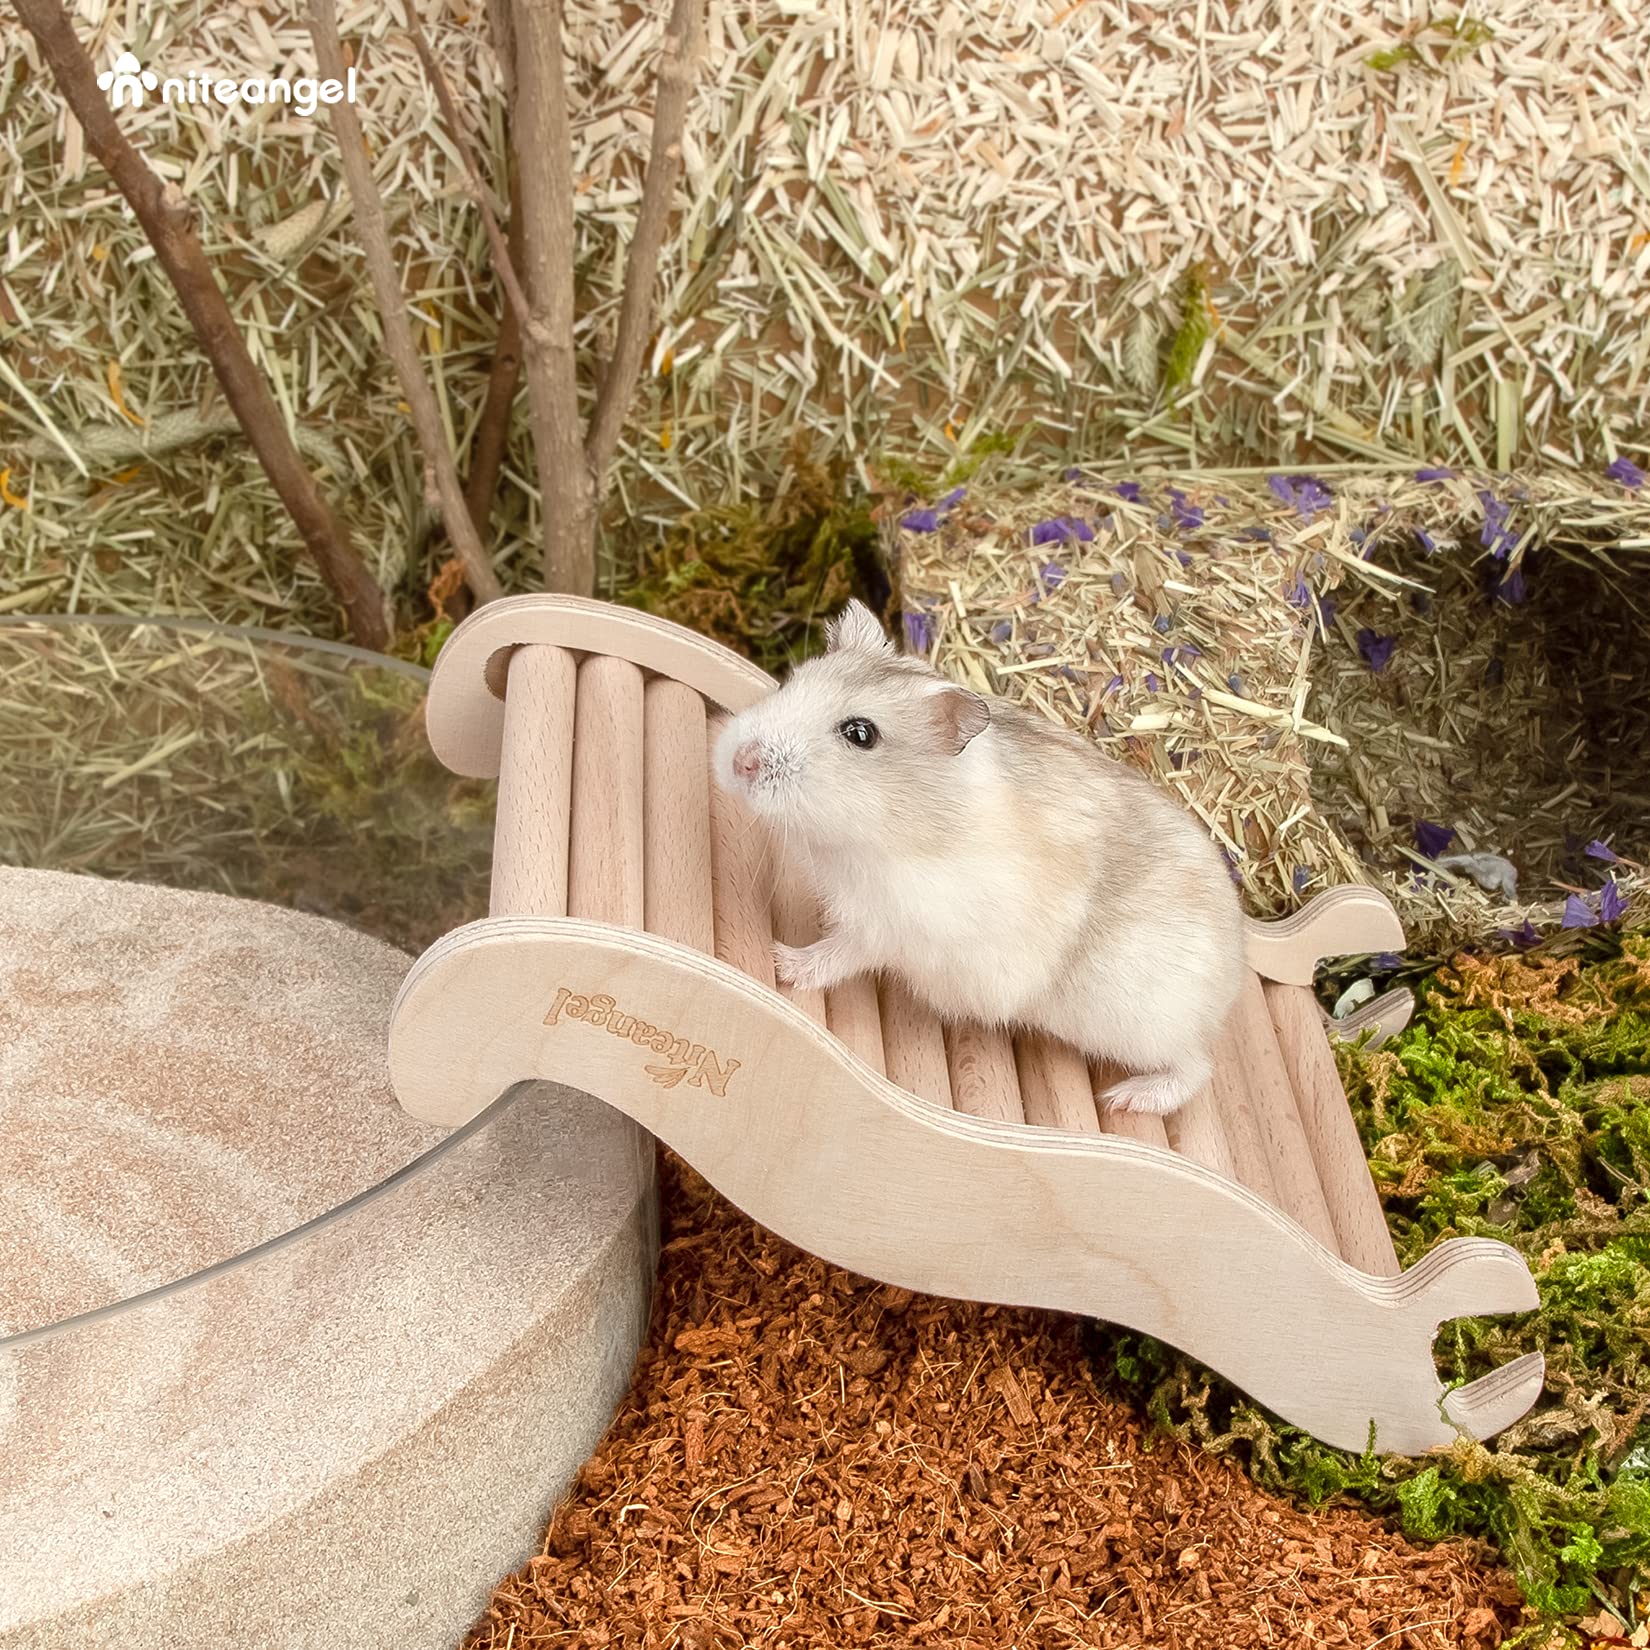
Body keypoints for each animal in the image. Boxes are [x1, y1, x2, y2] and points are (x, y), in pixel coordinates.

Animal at [711, 599, 1245, 1114]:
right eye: (791, 682)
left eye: (860, 733)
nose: (740, 761)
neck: (886, 826)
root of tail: (1230, 982)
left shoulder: (890, 924)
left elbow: (841, 953)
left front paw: (782, 961)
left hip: (1138, 1024)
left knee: (1197, 1069)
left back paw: (1125, 1099)